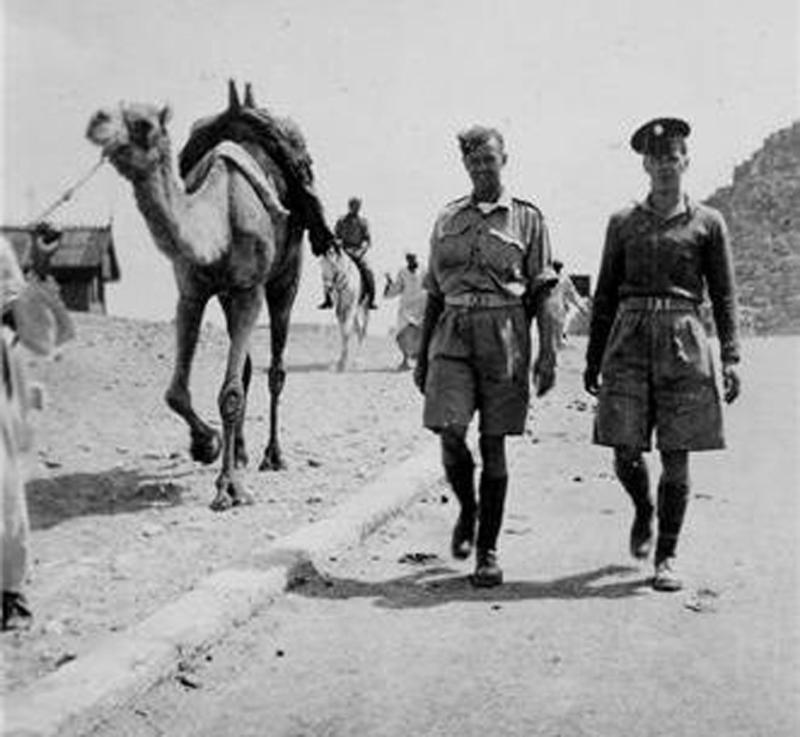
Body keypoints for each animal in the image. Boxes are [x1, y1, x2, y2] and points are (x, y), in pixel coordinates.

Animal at [85, 80, 312, 506]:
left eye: (143, 124)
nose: (96, 121)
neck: (220, 215)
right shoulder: (192, 291)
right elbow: (177, 393)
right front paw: (208, 445)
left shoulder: (250, 289)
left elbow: (231, 394)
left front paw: (229, 488)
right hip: (227, 295)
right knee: (248, 369)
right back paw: (240, 452)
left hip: (286, 276)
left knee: (276, 369)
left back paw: (273, 456)